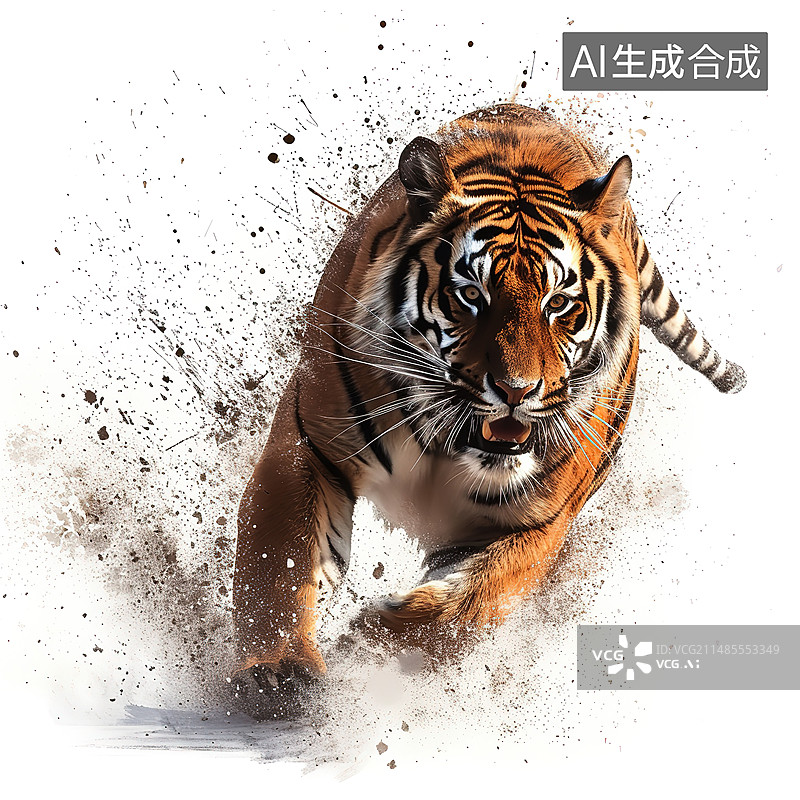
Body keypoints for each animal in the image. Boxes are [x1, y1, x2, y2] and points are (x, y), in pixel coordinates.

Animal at [231, 103, 745, 702]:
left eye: (559, 303)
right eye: (471, 295)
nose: (516, 391)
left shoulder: (537, 524)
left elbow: (466, 604)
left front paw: (370, 646)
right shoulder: (308, 449)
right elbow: (278, 560)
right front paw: (276, 671)